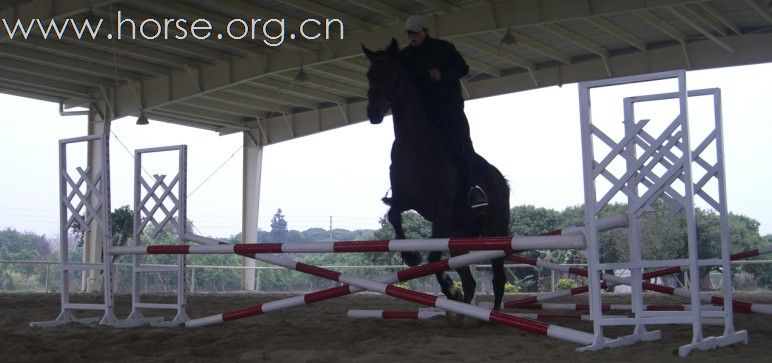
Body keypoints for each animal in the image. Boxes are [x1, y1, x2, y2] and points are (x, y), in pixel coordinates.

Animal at [364, 38, 512, 314]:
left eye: (393, 72)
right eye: (369, 74)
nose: (374, 114)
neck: (415, 146)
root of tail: (501, 179)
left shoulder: (441, 212)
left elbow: (434, 258)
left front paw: (449, 288)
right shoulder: (406, 200)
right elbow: (394, 216)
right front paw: (410, 256)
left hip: (494, 229)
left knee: (498, 278)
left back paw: (492, 313)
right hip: (460, 233)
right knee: (471, 281)